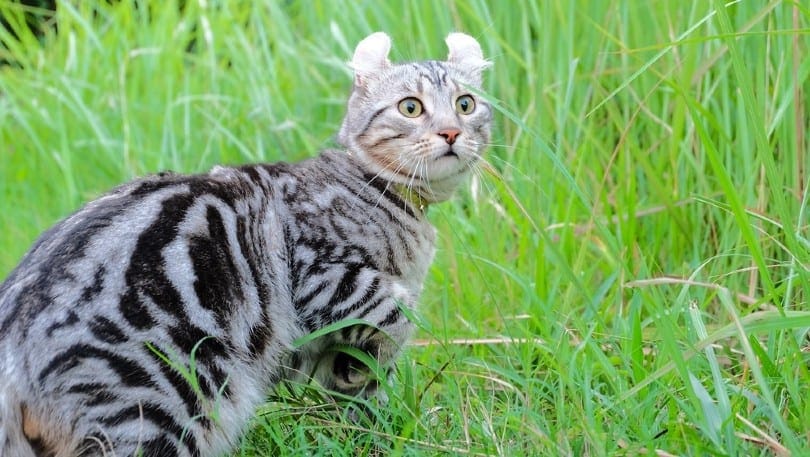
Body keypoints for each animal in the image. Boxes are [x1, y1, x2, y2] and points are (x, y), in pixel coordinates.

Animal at [0, 32, 492, 456]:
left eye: (465, 105)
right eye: (411, 108)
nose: (451, 132)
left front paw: (367, 412)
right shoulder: (321, 275)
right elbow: (396, 314)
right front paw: (371, 371)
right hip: (159, 403)